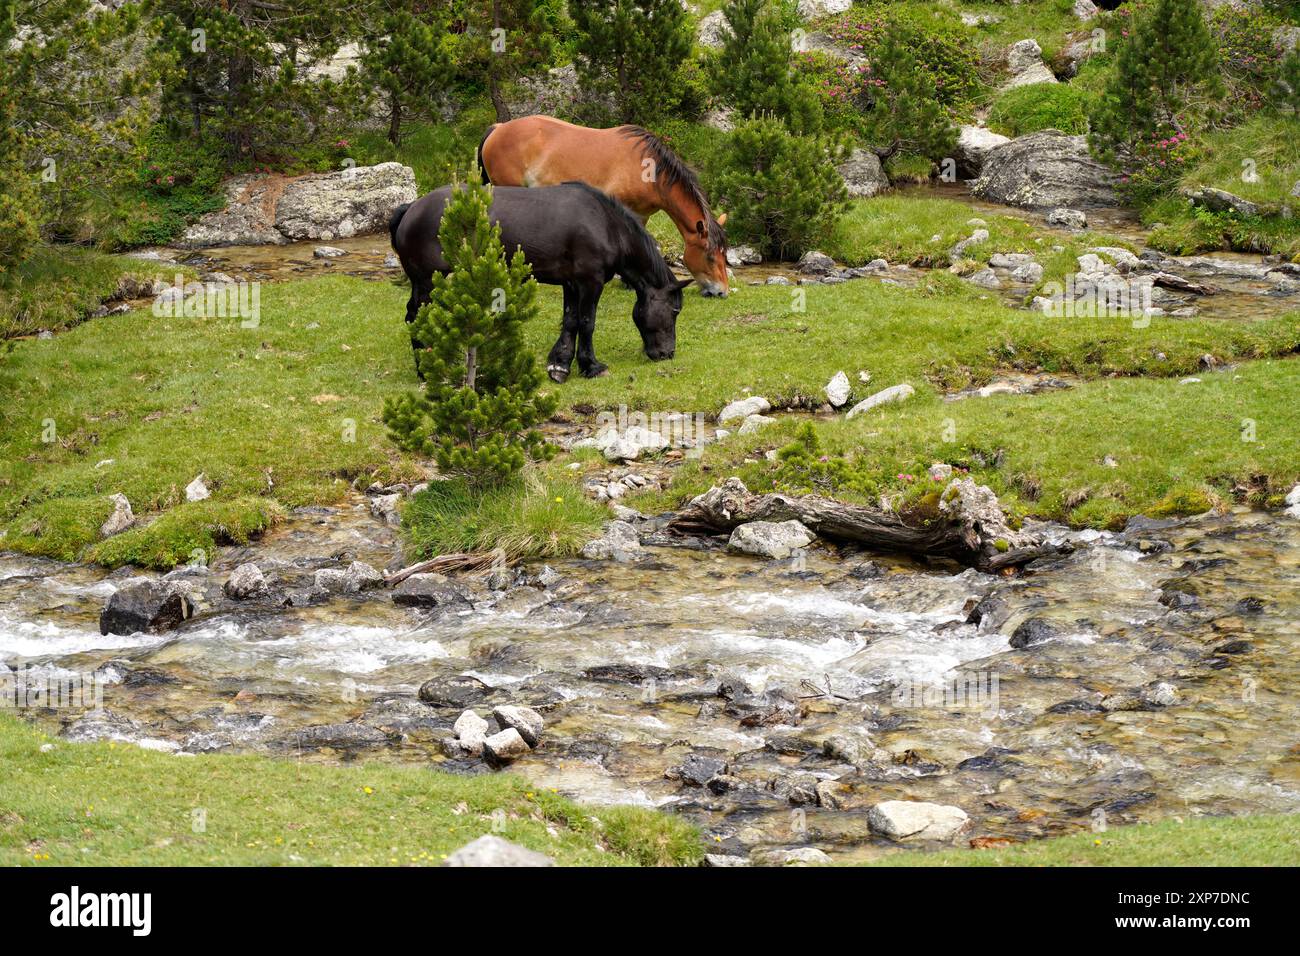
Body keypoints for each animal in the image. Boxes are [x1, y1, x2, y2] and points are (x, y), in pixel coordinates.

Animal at [387, 180, 696, 382]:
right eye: (675, 310)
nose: (667, 353)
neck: (606, 224)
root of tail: (411, 208)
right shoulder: (590, 283)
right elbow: (587, 323)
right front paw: (591, 366)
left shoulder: (572, 284)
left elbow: (570, 321)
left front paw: (560, 365)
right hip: (428, 281)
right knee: (417, 317)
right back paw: (426, 370)